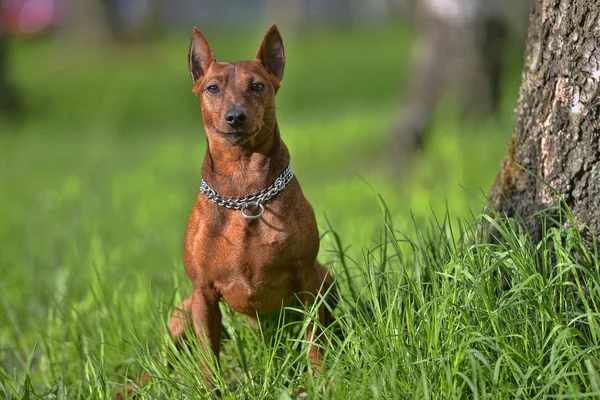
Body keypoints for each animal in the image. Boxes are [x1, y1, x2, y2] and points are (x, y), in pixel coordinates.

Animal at [168, 23, 338, 392]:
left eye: (257, 86)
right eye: (213, 88)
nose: (235, 117)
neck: (244, 191)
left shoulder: (308, 277)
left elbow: (314, 338)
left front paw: (321, 380)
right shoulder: (202, 294)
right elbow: (209, 356)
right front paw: (212, 390)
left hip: (327, 280)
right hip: (180, 315)